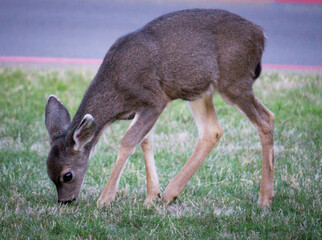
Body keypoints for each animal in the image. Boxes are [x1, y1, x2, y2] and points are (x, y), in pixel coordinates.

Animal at [44, 8, 274, 208]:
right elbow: (146, 141)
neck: (117, 91)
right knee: (212, 130)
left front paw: (105, 199)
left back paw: (264, 199)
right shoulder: (142, 109)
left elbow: (128, 142)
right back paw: (170, 193)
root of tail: (261, 35)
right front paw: (151, 196)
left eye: (67, 175)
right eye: (49, 173)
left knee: (266, 118)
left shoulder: (154, 99)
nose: (65, 201)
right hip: (199, 90)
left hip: (234, 80)